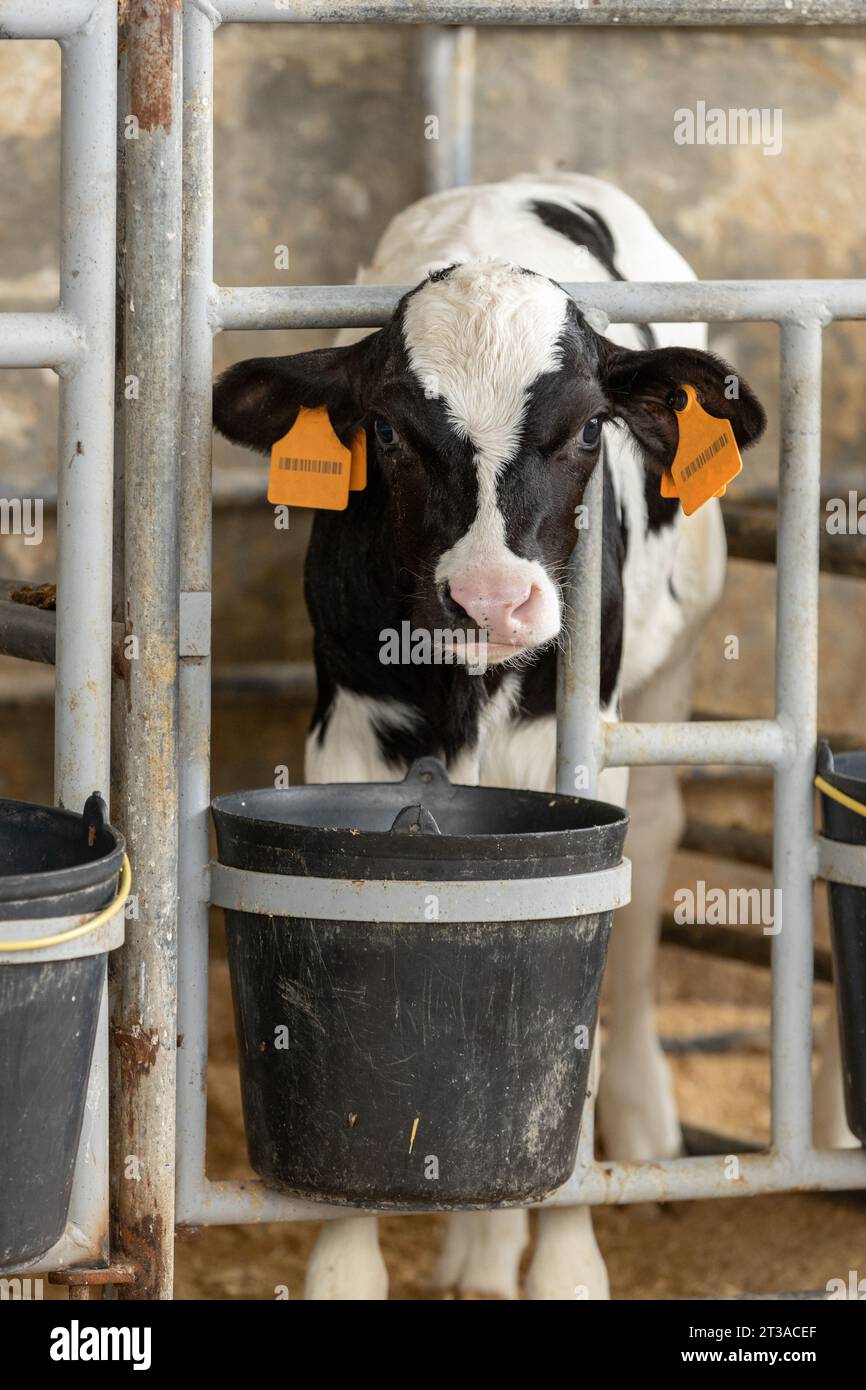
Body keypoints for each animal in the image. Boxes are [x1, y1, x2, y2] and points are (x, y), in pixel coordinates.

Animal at [214, 176, 767, 1301]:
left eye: (589, 431)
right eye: (389, 435)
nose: (489, 600)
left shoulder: (569, 753)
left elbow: (578, 1016)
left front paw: (566, 1263)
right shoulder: (347, 728)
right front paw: (346, 1265)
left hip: (675, 670)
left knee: (655, 855)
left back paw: (639, 1125)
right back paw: (476, 1249)